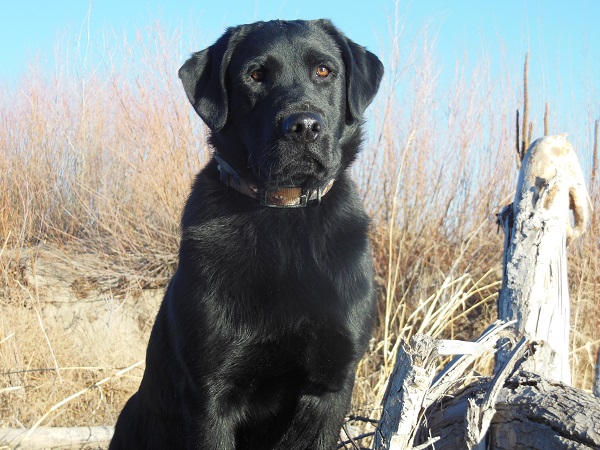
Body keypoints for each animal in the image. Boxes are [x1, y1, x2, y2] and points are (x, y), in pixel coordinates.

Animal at [109, 19, 382, 448]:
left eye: (324, 70)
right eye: (256, 76)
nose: (304, 127)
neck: (283, 211)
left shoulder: (329, 387)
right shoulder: (211, 394)